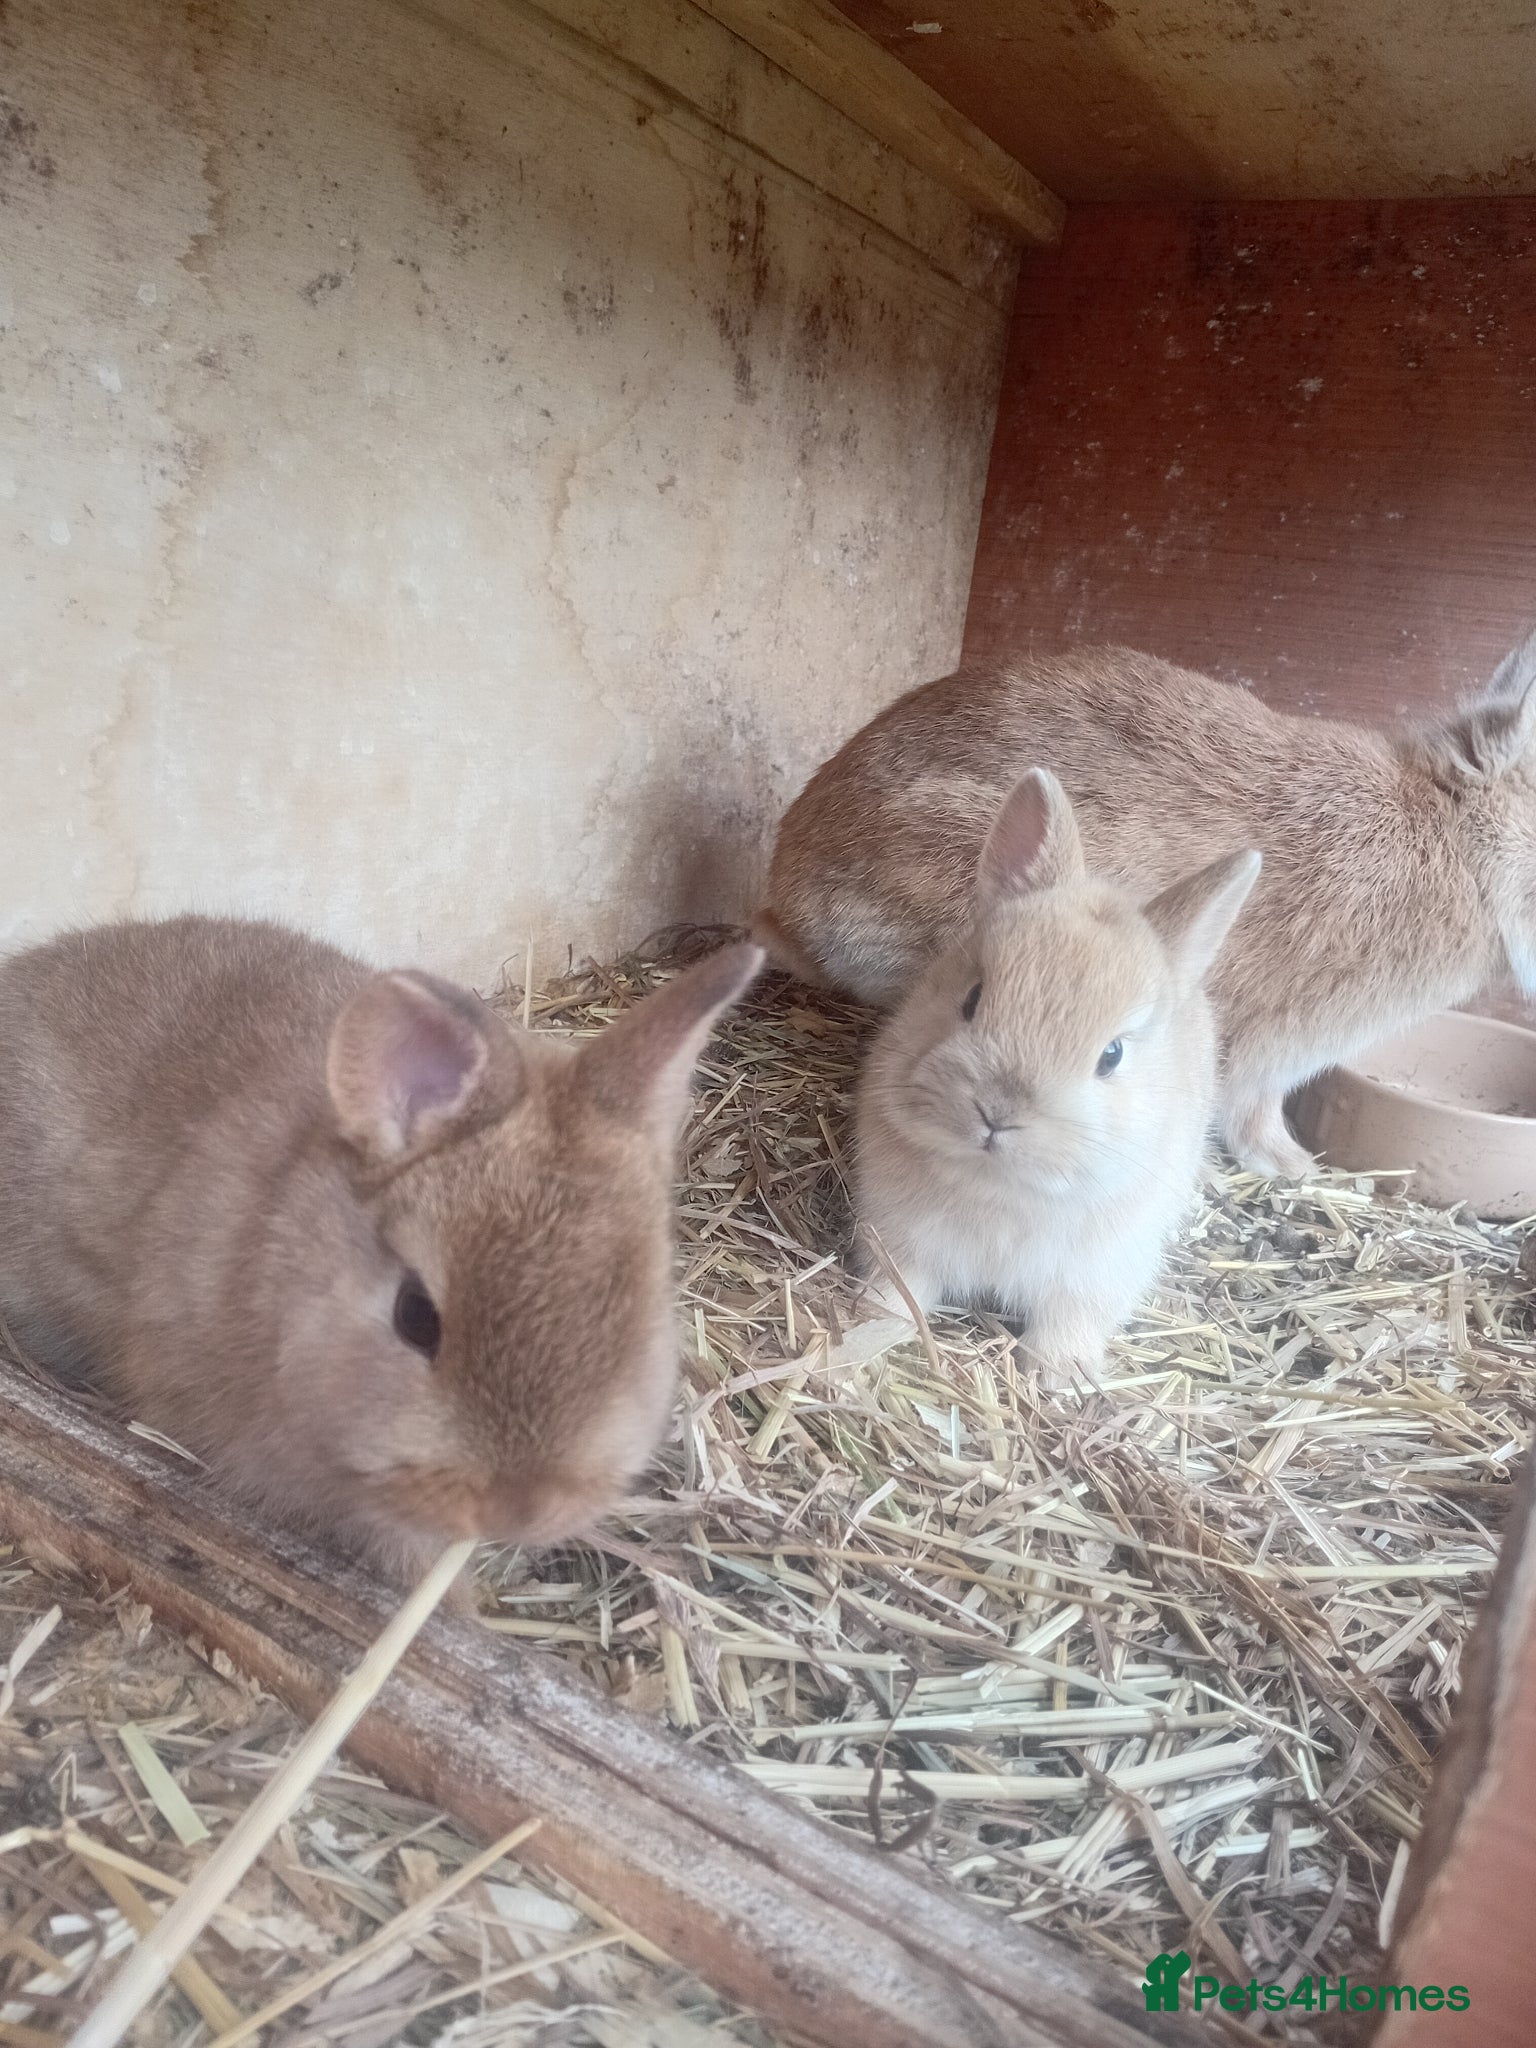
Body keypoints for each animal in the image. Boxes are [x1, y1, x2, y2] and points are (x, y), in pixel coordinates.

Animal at [853, 769, 1260, 1387]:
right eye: (972, 999)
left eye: (1112, 1055)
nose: (997, 1113)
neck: (998, 1185)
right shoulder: (900, 1236)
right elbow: (902, 1290)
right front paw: (871, 1324)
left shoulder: (1096, 1273)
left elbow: (1071, 1317)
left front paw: (1059, 1375)